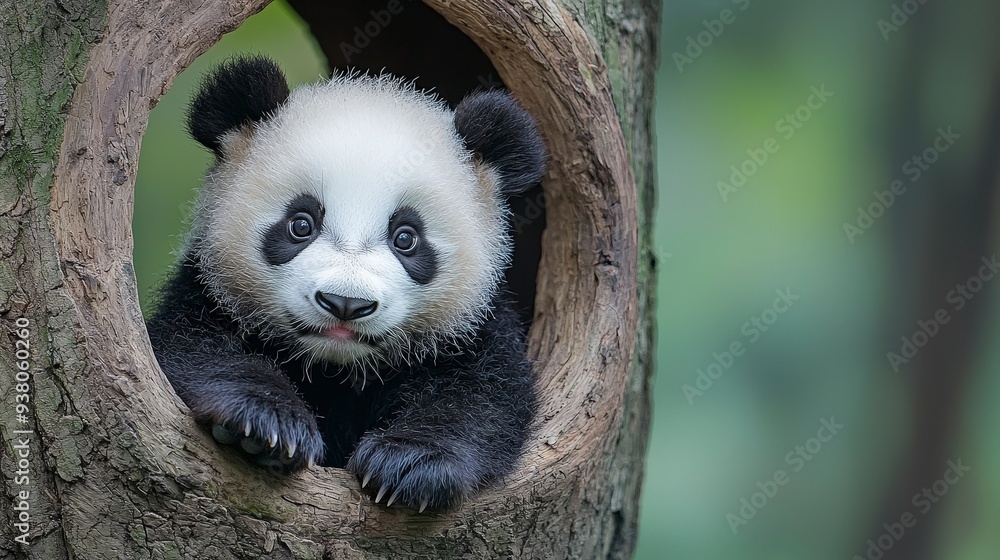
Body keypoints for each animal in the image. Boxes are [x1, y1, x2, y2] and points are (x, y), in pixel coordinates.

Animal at [145, 56, 545, 512]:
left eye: (406, 237)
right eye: (301, 224)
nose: (345, 304)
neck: (339, 365)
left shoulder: (474, 326)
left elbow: (486, 396)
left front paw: (410, 462)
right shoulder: (206, 291)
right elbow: (193, 347)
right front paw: (267, 422)